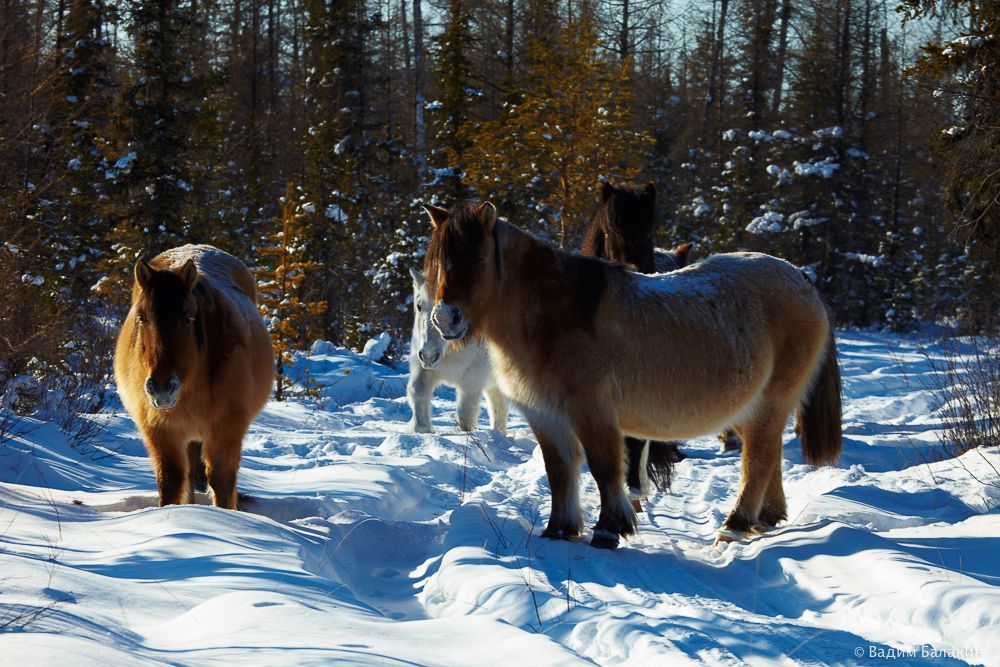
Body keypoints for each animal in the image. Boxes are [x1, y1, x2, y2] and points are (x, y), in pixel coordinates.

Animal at [114, 245, 274, 509]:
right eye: (142, 317)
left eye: (189, 317)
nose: (162, 389)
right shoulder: (162, 432)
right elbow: (171, 482)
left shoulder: (226, 430)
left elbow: (222, 482)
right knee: (187, 477)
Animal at [407, 267, 508, 434]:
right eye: (419, 306)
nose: (429, 356)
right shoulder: (425, 369)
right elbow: (417, 392)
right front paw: (423, 430)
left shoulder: (472, 381)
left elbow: (465, 414)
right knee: (499, 408)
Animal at [423, 201, 842, 549]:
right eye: (440, 260)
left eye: (479, 256)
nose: (445, 318)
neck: (556, 314)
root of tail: (803, 281)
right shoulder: (546, 416)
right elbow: (559, 471)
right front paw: (560, 530)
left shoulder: (592, 412)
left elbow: (605, 468)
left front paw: (609, 530)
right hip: (752, 409)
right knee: (769, 457)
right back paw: (765, 519)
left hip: (768, 404)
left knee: (759, 459)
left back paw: (734, 526)